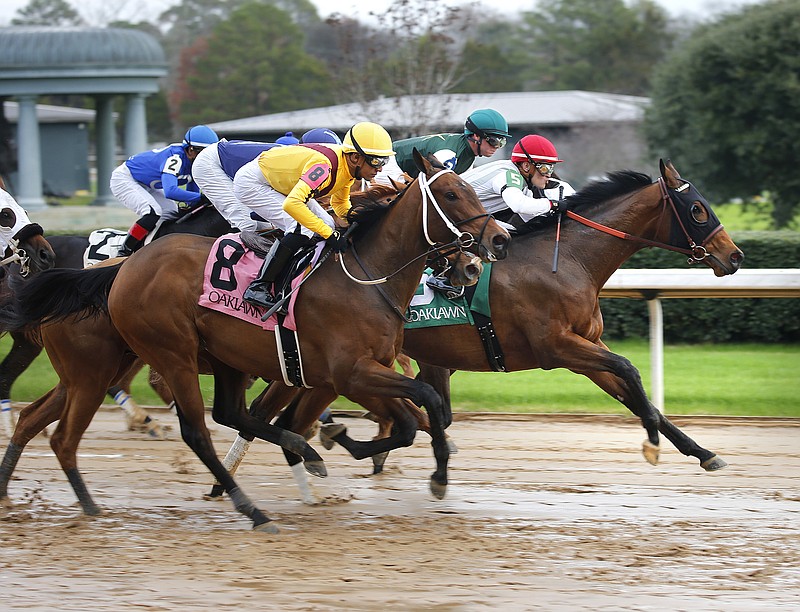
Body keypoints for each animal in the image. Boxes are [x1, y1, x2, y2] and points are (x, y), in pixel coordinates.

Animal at [0, 153, 510, 532]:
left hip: (139, 364)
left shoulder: (359, 372)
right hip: (168, 355)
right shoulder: (350, 372)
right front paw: (430, 468)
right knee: (194, 431)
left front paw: (344, 446)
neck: (366, 276)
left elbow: (408, 420)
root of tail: (122, 270)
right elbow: (425, 400)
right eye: (451, 193)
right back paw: (251, 508)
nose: (498, 241)